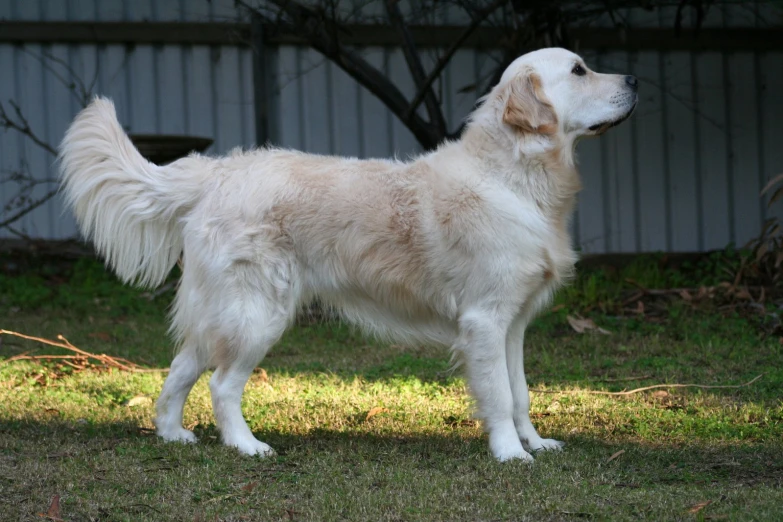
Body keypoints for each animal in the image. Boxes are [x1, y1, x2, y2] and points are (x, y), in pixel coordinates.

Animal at [59, 47, 636, 460]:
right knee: (222, 385)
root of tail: (218, 171)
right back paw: (247, 446)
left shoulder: (513, 323)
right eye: (579, 70)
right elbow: (496, 394)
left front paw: (535, 443)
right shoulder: (484, 320)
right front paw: (511, 455)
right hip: (258, 313)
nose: (634, 81)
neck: (513, 176)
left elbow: (519, 392)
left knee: (181, 367)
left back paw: (172, 434)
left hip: (220, 310)